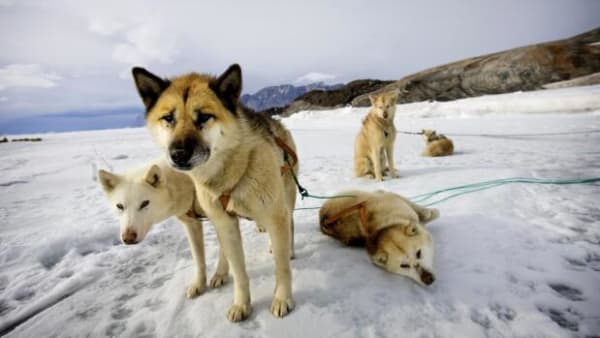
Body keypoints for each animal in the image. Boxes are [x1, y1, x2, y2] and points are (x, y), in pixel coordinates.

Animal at [98, 160, 230, 298]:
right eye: (120, 206)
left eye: (144, 203)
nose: (128, 238)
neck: (187, 182)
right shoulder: (191, 224)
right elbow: (199, 260)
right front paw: (199, 284)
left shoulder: (222, 219)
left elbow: (225, 251)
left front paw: (220, 275)